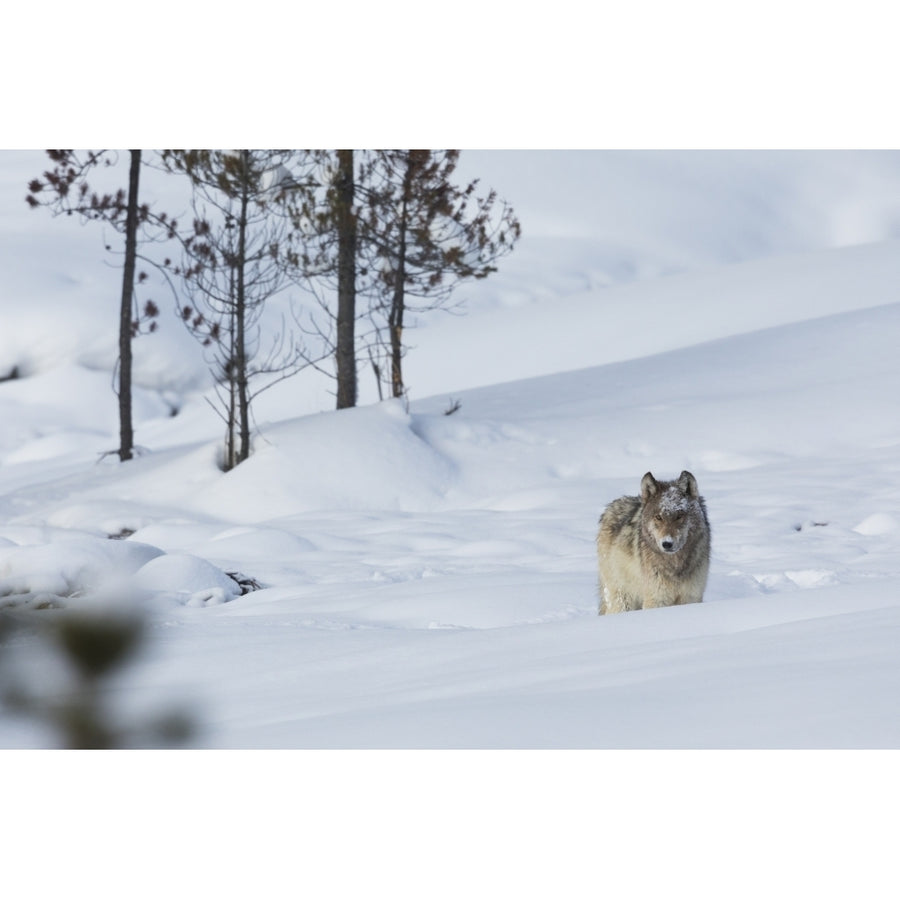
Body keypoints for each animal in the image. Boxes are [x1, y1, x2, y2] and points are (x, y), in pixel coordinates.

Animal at [596, 472, 712, 612]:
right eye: (658, 517)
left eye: (679, 516)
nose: (667, 543)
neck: (674, 565)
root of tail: (610, 508)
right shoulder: (656, 599)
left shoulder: (691, 597)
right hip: (623, 599)